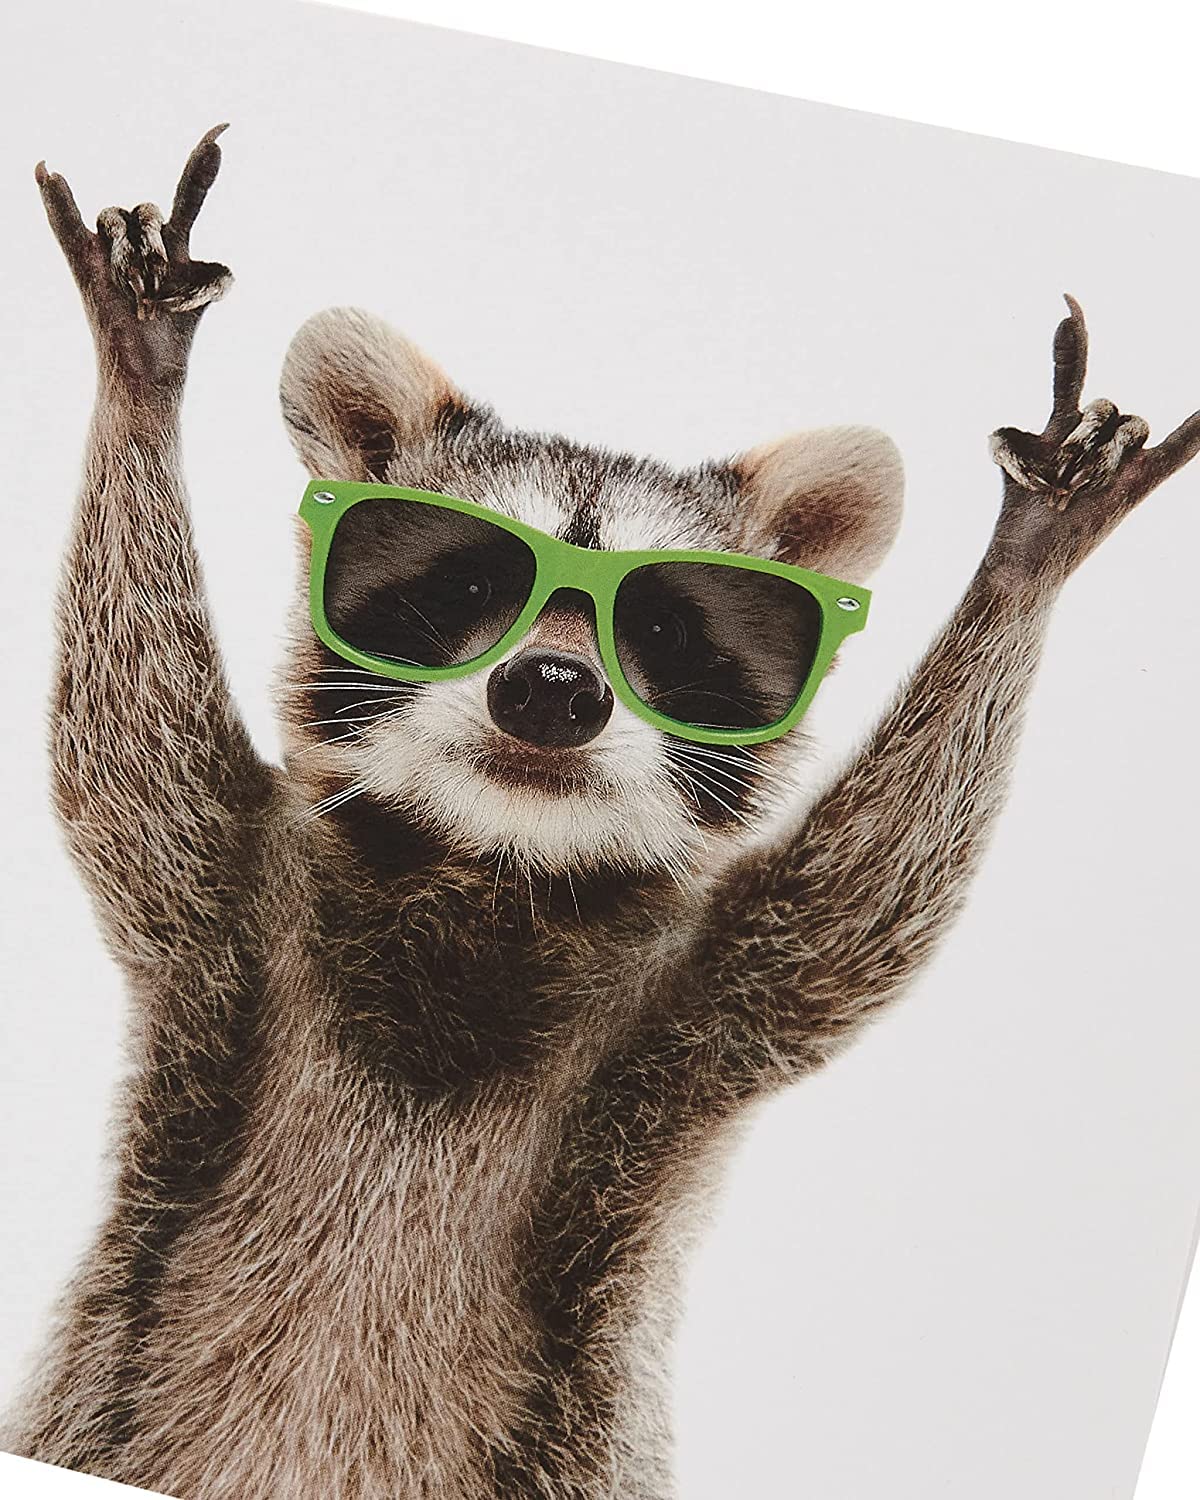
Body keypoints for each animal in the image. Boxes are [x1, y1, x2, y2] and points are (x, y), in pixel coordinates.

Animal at [8, 125, 1198, 1500]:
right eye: (469, 582)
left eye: (666, 631)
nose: (552, 689)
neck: (494, 867)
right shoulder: (230, 904)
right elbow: (121, 737)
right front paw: (142, 380)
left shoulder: (702, 1008)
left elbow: (869, 897)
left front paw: (1025, 565)